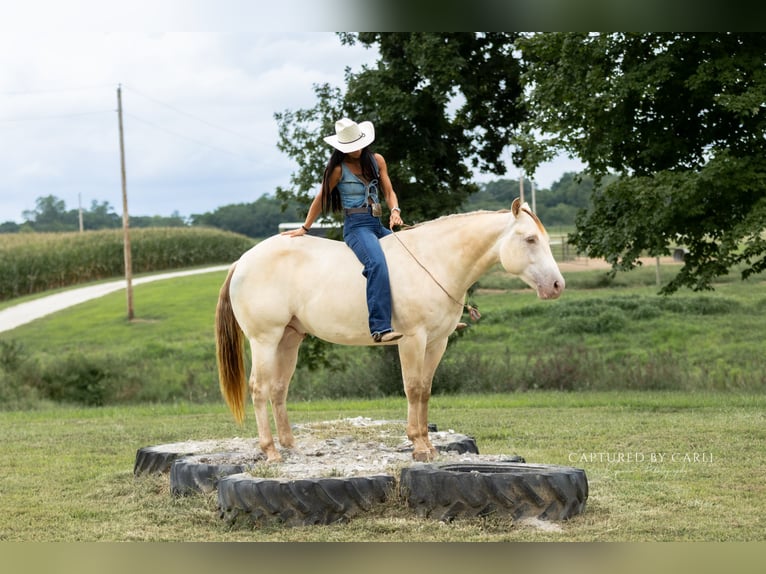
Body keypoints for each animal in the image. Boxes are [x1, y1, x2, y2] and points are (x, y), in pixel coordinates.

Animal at [215, 198, 564, 462]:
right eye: (530, 239)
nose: (557, 285)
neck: (434, 262)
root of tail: (242, 261)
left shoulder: (437, 342)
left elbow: (426, 390)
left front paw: (429, 446)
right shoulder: (412, 340)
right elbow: (413, 388)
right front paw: (418, 445)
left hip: (289, 339)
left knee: (278, 389)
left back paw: (289, 446)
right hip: (265, 340)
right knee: (260, 388)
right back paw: (270, 451)